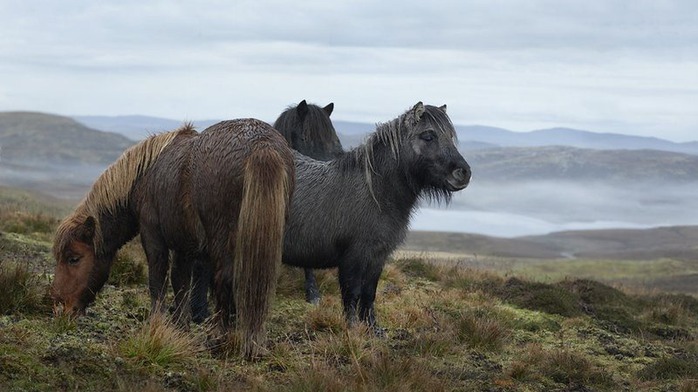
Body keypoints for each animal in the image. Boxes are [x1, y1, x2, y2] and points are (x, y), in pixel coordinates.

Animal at [53, 119, 294, 358]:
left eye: (74, 258)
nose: (59, 308)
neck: (145, 175)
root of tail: (262, 145)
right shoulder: (184, 247)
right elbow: (181, 282)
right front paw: (180, 325)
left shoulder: (153, 237)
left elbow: (157, 279)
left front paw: (156, 323)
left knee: (224, 279)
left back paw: (217, 337)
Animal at [280, 102, 470, 330]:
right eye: (428, 136)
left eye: (450, 136)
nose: (463, 173)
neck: (376, 194)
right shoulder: (354, 257)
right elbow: (352, 293)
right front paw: (352, 329)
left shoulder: (378, 256)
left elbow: (369, 293)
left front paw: (373, 328)